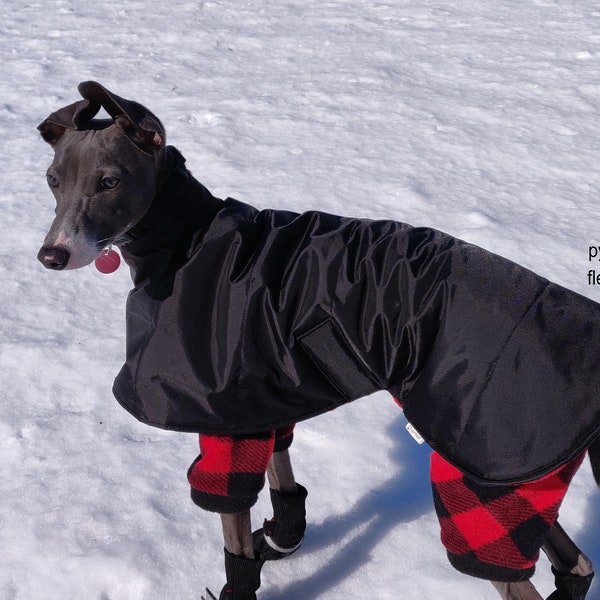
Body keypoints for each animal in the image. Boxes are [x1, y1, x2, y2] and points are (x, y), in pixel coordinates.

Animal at [38, 81, 600, 600]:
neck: (187, 237)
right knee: (576, 564)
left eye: (110, 181)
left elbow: (232, 520)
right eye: (52, 180)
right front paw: (282, 539)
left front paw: (243, 576)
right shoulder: (258, 401)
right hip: (513, 480)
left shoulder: (220, 416)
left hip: (484, 472)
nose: (51, 256)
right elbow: (282, 480)